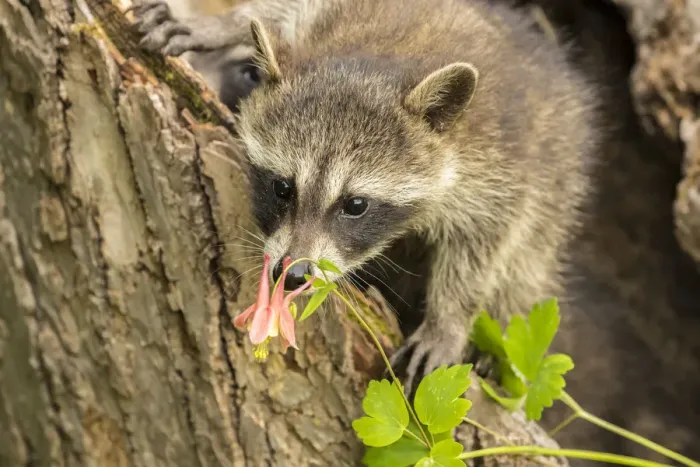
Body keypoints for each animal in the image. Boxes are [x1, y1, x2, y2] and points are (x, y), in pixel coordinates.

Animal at [132, 0, 599, 392]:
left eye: (355, 205)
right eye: (283, 187)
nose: (294, 274)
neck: (374, 64)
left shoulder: (500, 164)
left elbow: (485, 240)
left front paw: (448, 321)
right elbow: (280, 6)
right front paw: (220, 24)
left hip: (557, 193)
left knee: (527, 263)